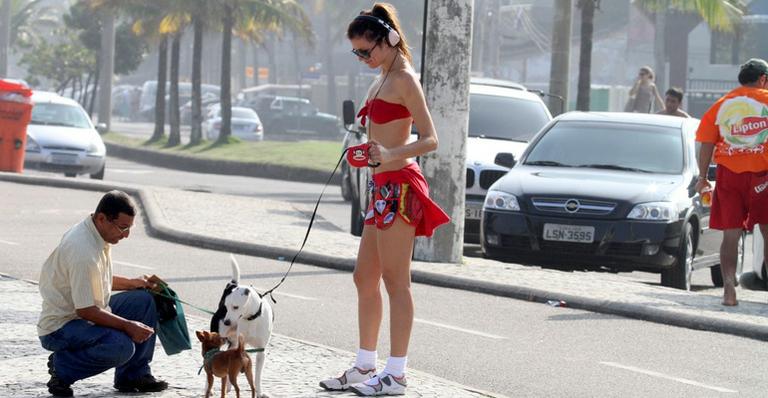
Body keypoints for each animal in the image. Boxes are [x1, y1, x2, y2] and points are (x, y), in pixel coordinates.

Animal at [219, 255, 272, 398]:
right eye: (226, 306)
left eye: (235, 307)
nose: (226, 322)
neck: (251, 318)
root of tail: (233, 284)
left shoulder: (261, 351)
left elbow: (258, 376)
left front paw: (259, 392)